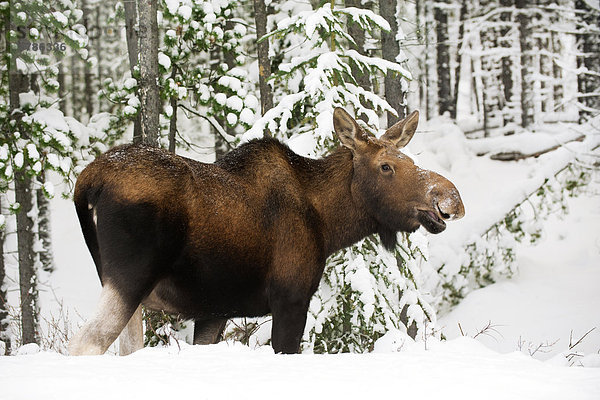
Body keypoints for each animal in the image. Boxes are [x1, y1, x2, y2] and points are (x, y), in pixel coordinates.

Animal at [69, 108, 464, 354]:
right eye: (386, 166)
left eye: (409, 160)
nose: (451, 198)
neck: (329, 223)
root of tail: (88, 180)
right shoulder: (290, 298)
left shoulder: (214, 311)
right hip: (130, 278)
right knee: (85, 343)